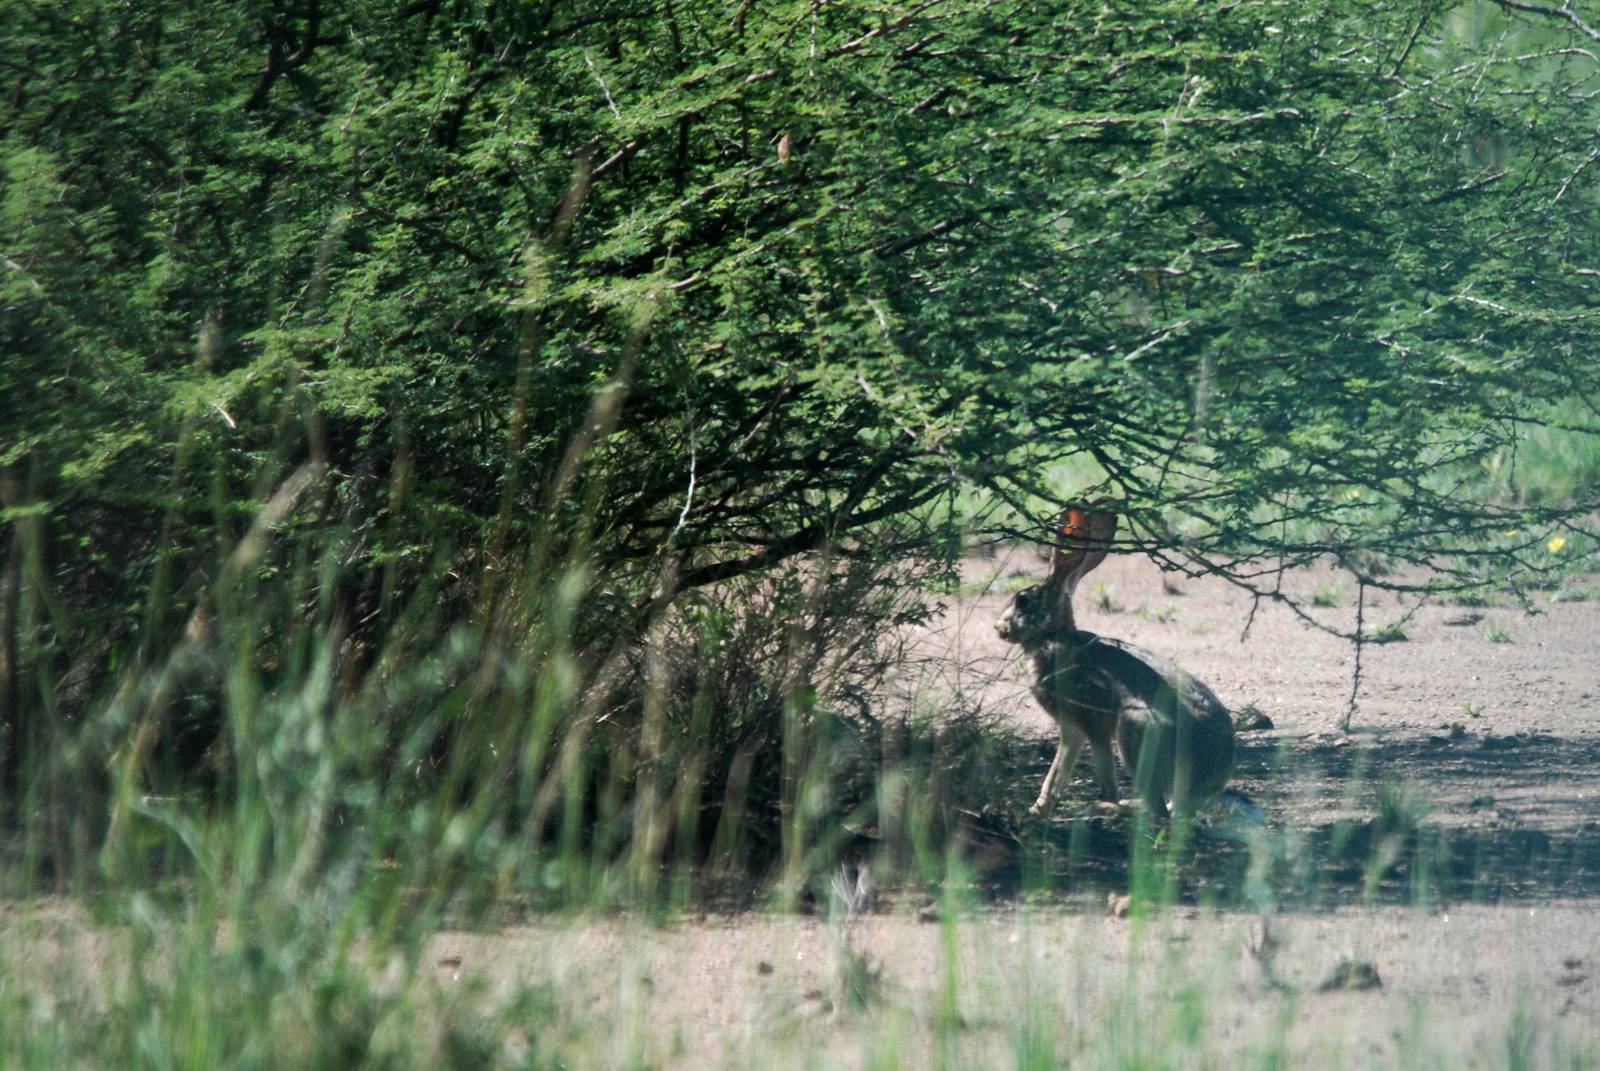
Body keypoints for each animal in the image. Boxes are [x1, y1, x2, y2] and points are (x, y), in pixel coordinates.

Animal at [996, 506, 1235, 817]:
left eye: (1022, 601)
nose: (999, 628)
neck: (1053, 635)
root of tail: (1205, 786)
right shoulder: (1074, 730)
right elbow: (1059, 770)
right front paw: (1039, 808)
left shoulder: (1086, 723)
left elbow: (1084, 768)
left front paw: (1043, 808)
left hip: (1135, 730)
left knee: (1159, 809)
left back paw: (1117, 808)